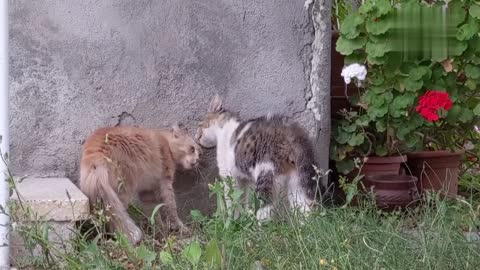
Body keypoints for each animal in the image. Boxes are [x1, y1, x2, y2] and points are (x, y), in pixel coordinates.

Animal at [195, 96, 326, 220]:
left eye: (199, 125)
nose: (196, 138)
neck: (224, 128)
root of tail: (292, 134)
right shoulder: (247, 180)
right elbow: (245, 200)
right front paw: (245, 218)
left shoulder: (229, 177)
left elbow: (232, 201)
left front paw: (233, 220)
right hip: (297, 180)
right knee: (306, 208)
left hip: (266, 175)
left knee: (266, 209)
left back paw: (259, 226)